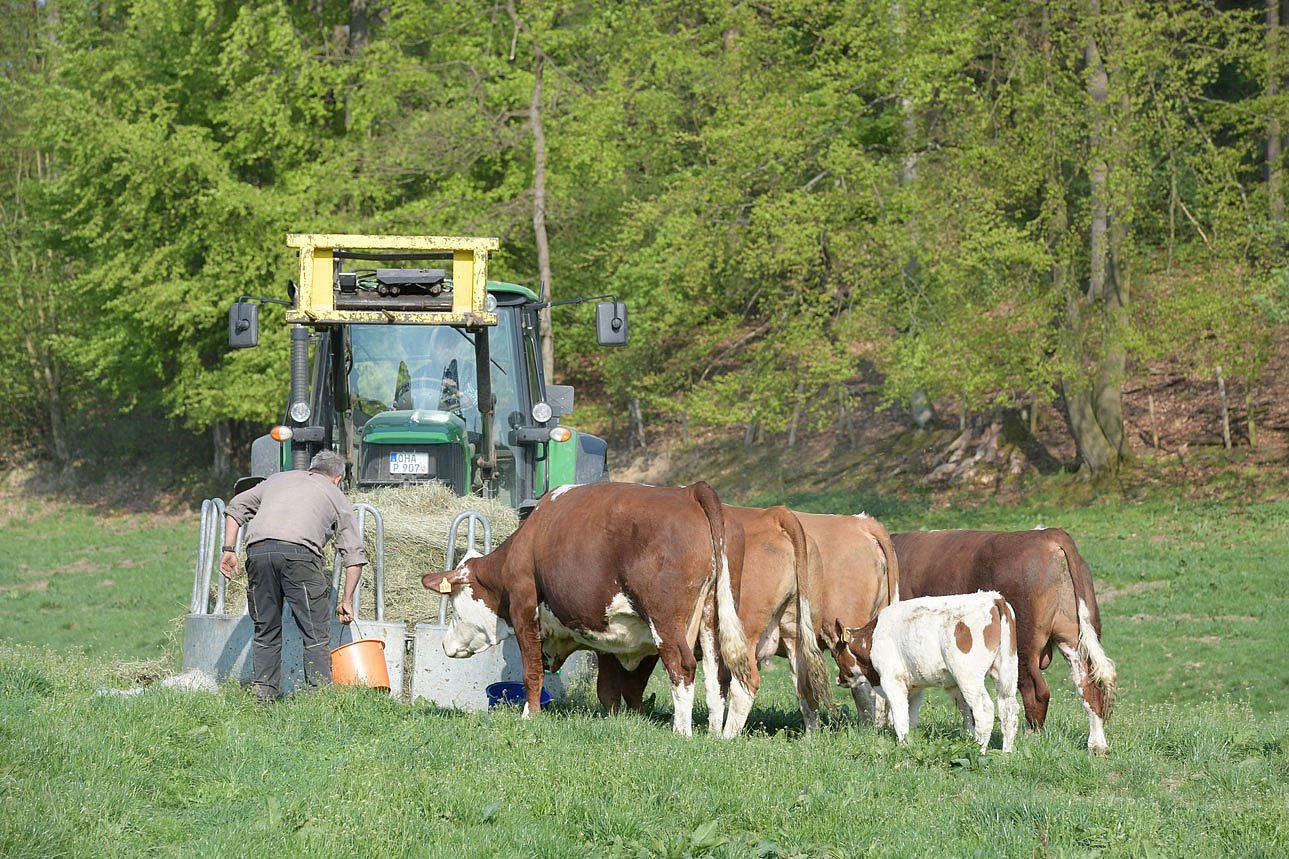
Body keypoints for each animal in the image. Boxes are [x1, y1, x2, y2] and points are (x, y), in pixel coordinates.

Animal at [422, 482, 752, 737]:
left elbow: (532, 670)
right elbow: (607, 687)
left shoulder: (524, 607)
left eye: (454, 606)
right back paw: (714, 733)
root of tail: (689, 492)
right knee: (718, 674)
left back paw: (681, 731)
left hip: (666, 622)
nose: (445, 644)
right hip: (712, 616)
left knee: (682, 667)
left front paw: (530, 716)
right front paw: (615, 720)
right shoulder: (607, 635)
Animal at [835, 588, 1015, 748]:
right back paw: (1006, 753)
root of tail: (993, 598)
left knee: (985, 711)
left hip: (968, 677)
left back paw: (980, 750)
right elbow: (911, 718)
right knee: (1008, 710)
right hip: (1006, 671)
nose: (838, 679)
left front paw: (904, 746)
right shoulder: (915, 687)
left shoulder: (892, 681)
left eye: (836, 653)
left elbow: (900, 719)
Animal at [897, 526, 1118, 753]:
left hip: (1023, 648)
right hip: (1074, 637)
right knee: (1089, 685)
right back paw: (1098, 745)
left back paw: (1030, 739)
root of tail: (1048, 534)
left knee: (1036, 692)